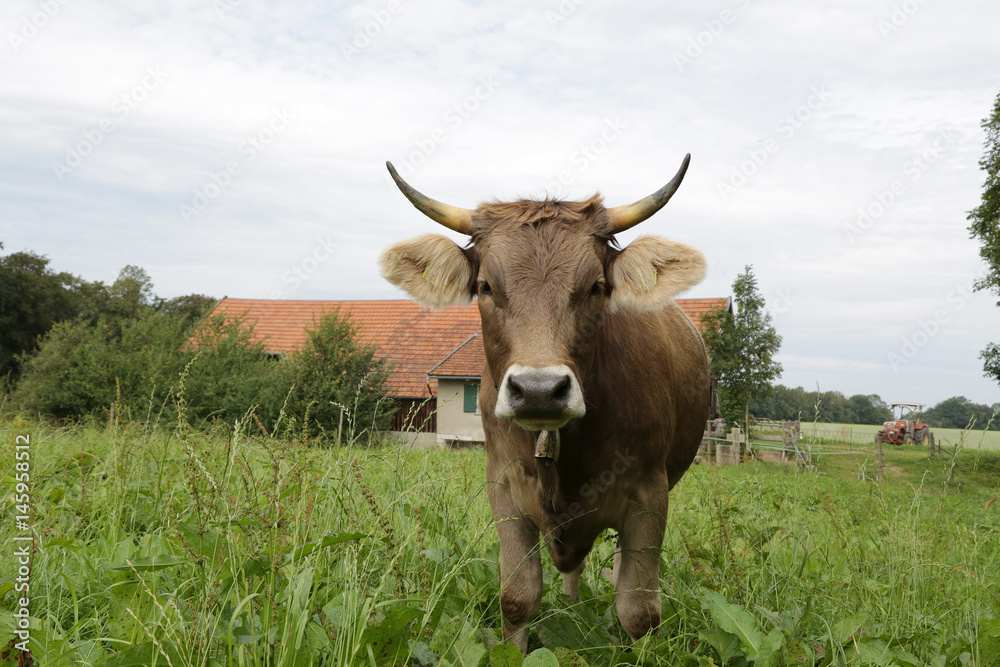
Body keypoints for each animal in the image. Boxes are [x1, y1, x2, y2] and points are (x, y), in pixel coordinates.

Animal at [376, 157, 712, 652]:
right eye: (486, 286)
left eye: (596, 287)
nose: (538, 389)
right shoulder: (504, 486)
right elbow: (517, 598)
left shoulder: (650, 493)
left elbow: (638, 610)